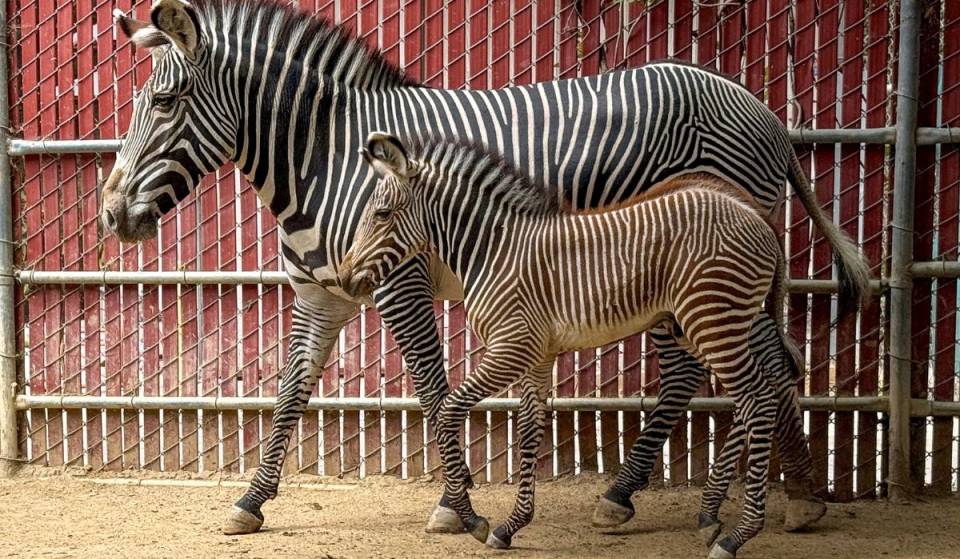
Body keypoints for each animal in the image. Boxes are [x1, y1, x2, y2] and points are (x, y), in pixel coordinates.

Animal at [337, 132, 868, 558]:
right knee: (760, 391)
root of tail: (757, 217)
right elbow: (529, 432)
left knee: (757, 397)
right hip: (718, 322)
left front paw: (471, 519)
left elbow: (449, 411)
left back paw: (737, 535)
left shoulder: (510, 347)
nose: (343, 280)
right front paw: (511, 525)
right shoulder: (536, 355)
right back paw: (712, 517)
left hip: (713, 319)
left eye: (380, 214)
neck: (494, 249)